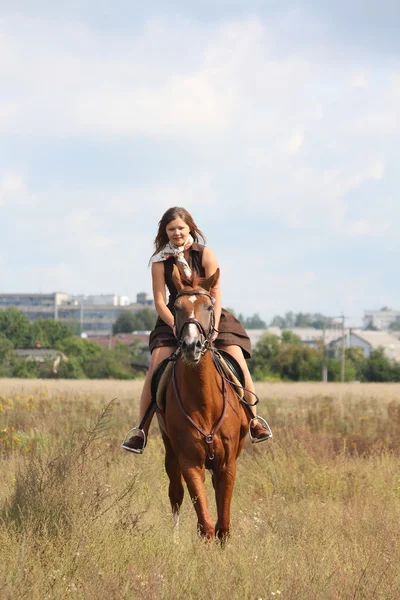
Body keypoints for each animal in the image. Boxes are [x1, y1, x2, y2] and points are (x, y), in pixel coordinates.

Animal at [158, 266, 248, 540]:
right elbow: (206, 525)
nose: (191, 345)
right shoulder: (190, 463)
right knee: (175, 493)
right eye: (176, 307)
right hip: (171, 453)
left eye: (209, 306)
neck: (205, 401)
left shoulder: (227, 465)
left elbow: (223, 525)